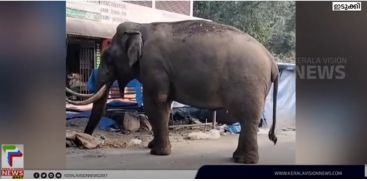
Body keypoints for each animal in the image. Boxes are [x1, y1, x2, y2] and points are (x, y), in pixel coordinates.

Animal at [66, 20, 278, 164]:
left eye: (109, 59)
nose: (83, 139)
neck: (141, 27)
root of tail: (271, 60)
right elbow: (164, 105)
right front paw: (152, 146)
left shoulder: (154, 65)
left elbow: (155, 104)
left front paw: (157, 152)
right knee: (247, 120)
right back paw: (238, 158)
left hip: (249, 84)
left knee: (247, 118)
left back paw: (245, 160)